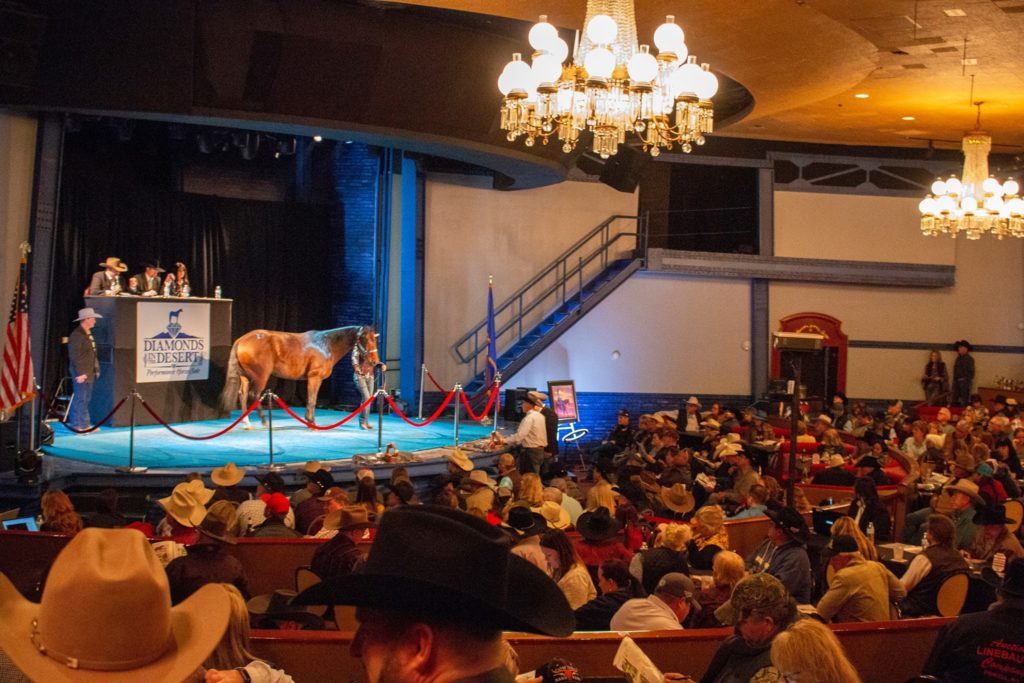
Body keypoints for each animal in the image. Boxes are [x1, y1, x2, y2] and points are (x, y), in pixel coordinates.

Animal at [221, 325, 380, 428]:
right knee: (254, 394)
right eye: (365, 339)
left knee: (242, 395)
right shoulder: (315, 378)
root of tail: (241, 340)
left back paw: (247, 422)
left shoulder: (312, 379)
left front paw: (308, 421)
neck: (325, 345)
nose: (374, 361)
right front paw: (312, 422)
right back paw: (264, 421)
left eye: (375, 340)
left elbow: (311, 399)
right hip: (261, 376)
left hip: (245, 377)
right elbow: (312, 400)